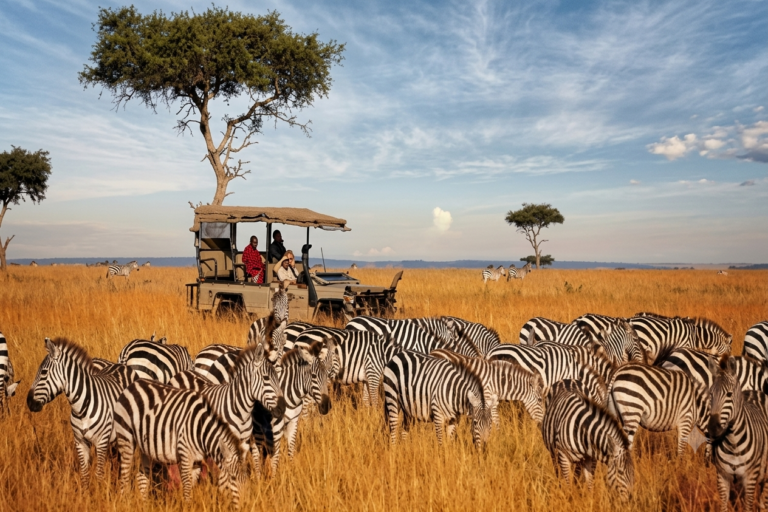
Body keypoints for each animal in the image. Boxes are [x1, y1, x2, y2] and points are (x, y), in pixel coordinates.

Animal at [27, 337, 138, 488]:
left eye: (44, 372)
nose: (29, 402)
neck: (81, 407)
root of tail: (123, 365)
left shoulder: (101, 440)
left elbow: (99, 474)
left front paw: (99, 491)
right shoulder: (80, 441)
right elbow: (85, 474)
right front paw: (86, 492)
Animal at [113, 379, 244, 506]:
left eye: (244, 480)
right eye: (233, 478)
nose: (244, 505)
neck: (200, 430)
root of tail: (132, 384)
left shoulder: (196, 461)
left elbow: (191, 485)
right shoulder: (185, 453)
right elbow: (187, 487)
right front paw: (188, 507)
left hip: (146, 448)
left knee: (141, 478)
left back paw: (144, 506)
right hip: (126, 437)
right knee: (124, 477)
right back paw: (123, 503)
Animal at [251, 340, 333, 474]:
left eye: (327, 376)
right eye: (314, 376)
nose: (326, 406)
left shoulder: (293, 422)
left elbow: (291, 450)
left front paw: (292, 472)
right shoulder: (275, 426)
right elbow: (275, 455)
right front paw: (275, 477)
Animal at [708, 356, 768, 512]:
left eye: (729, 394)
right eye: (710, 394)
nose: (712, 429)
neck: (733, 443)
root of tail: (756, 391)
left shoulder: (750, 478)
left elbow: (748, 507)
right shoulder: (722, 477)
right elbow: (724, 507)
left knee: (763, 502)